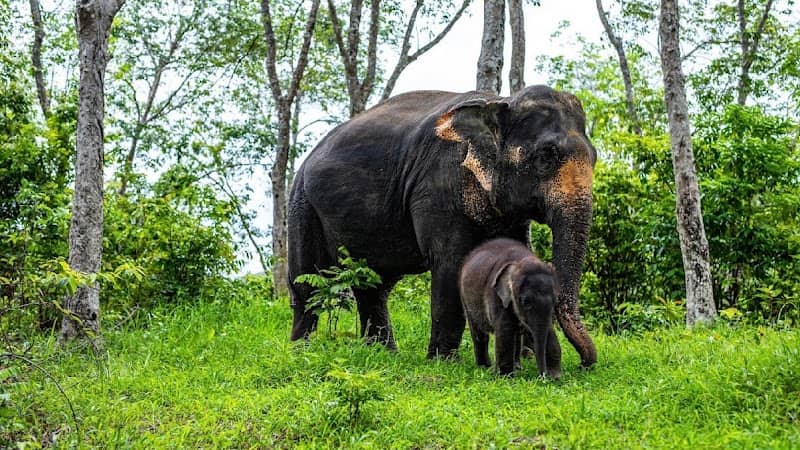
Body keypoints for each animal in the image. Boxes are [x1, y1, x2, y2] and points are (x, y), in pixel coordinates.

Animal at [458, 238, 558, 377]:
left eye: (555, 301)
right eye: (525, 302)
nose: (542, 376)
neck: (520, 261)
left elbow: (549, 330)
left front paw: (555, 376)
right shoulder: (496, 296)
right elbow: (504, 330)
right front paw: (505, 376)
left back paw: (516, 366)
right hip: (465, 298)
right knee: (479, 332)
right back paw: (484, 367)